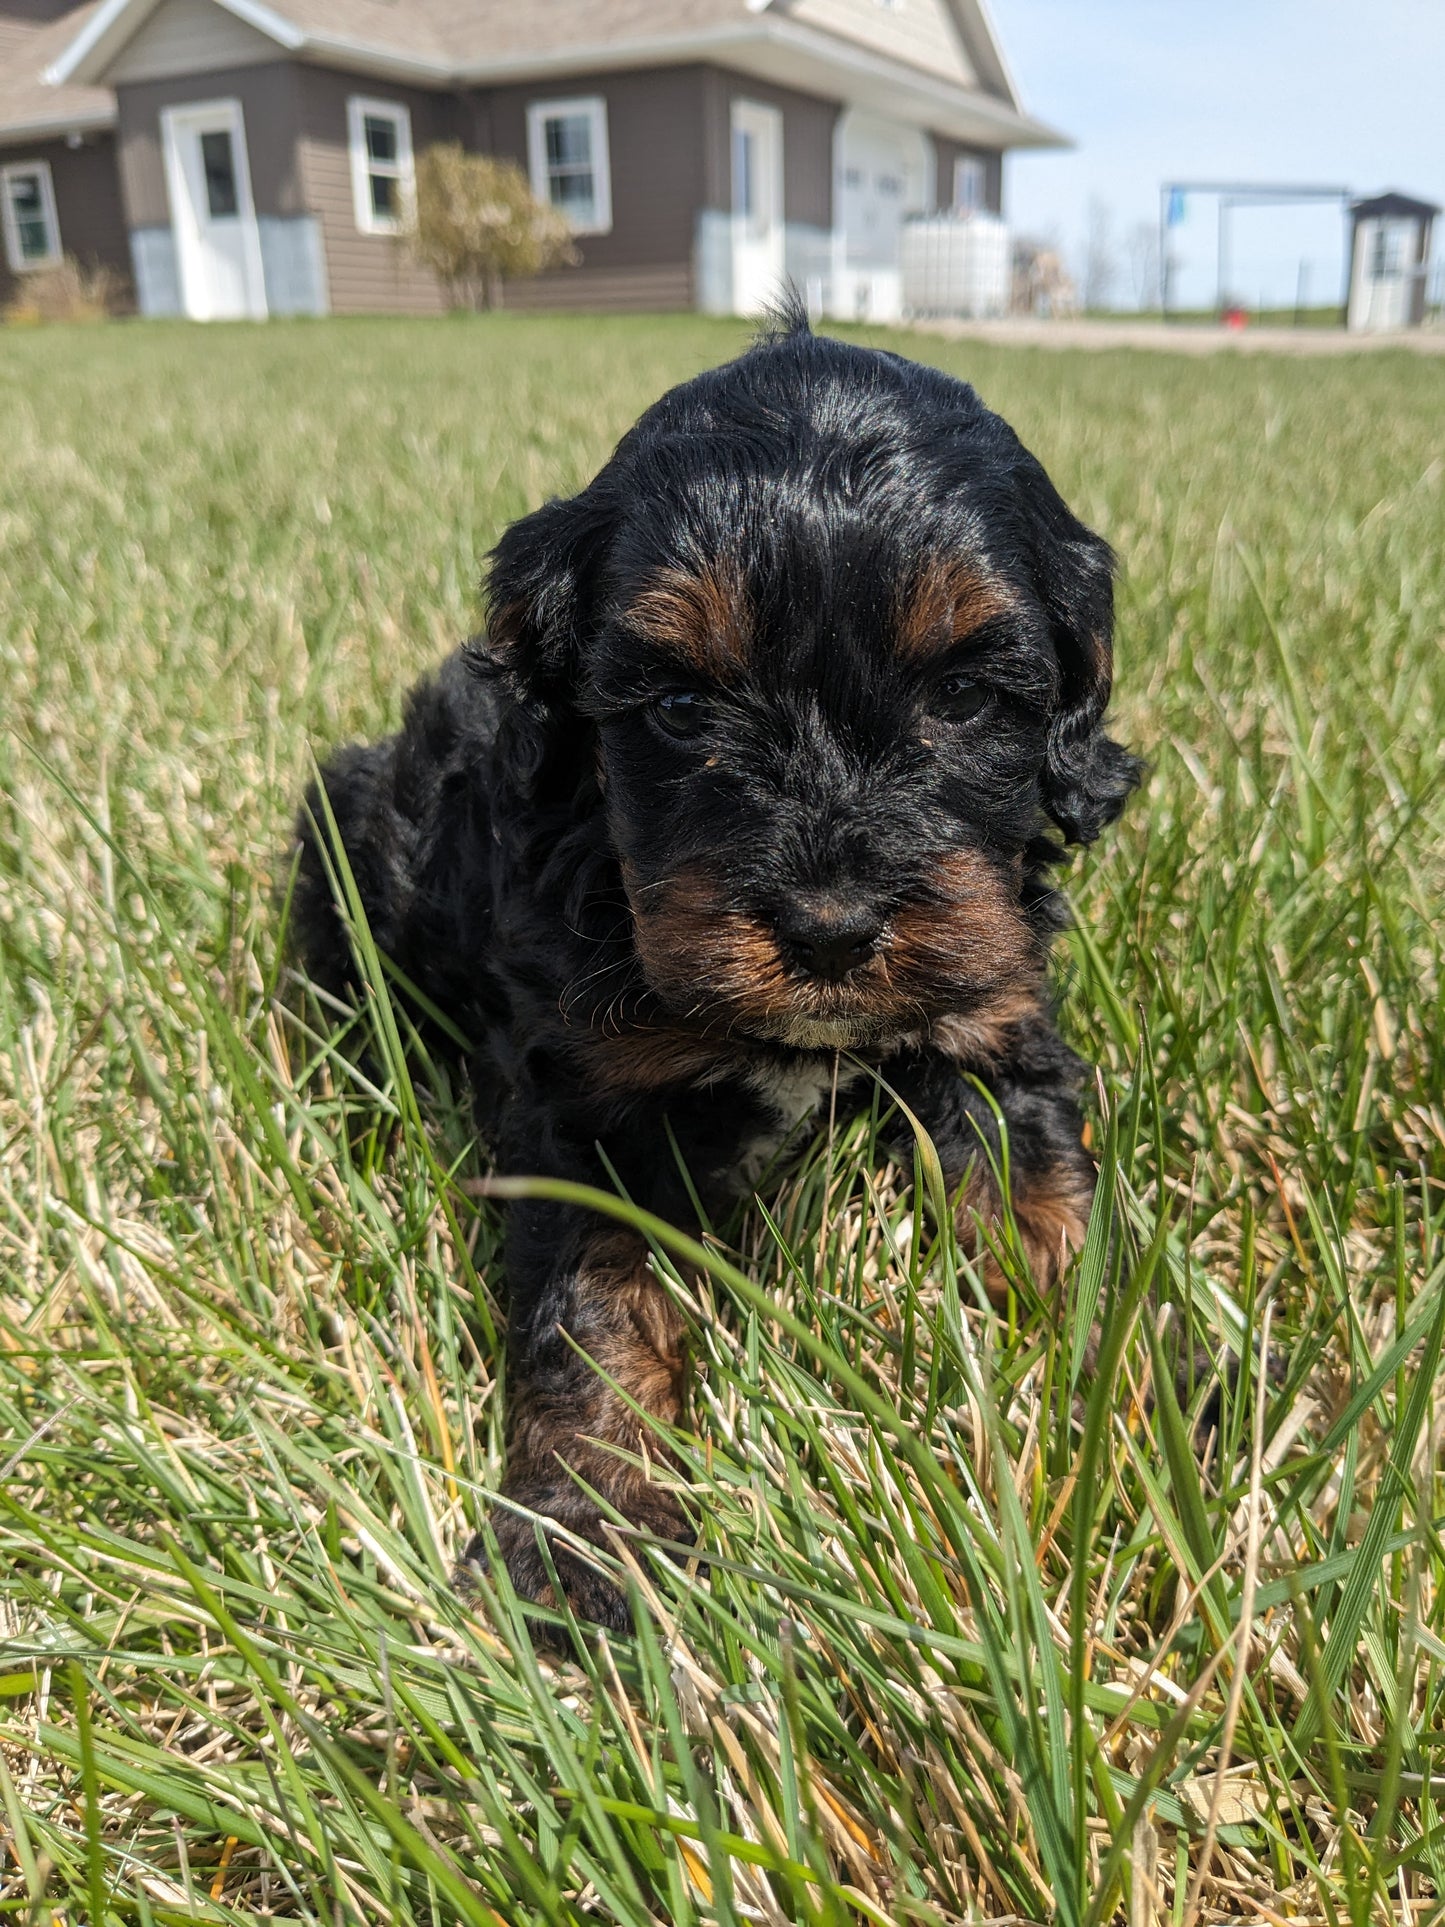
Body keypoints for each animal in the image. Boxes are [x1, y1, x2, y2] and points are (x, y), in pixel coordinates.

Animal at [294, 312, 1140, 1626]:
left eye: (962, 694)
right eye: (683, 703)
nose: (830, 927)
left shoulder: (993, 1017)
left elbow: (1049, 1208)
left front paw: (1161, 1407)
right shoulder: (582, 1097)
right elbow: (595, 1307)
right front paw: (587, 1535)